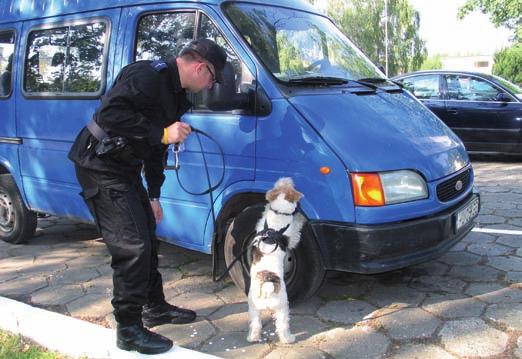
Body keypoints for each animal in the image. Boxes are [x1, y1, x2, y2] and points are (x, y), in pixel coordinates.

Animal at [245, 179, 302, 344]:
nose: (287, 178)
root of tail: (267, 288)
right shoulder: (292, 235)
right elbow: (296, 229)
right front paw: (300, 218)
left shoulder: (260, 226)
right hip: (283, 307)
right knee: (282, 326)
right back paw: (289, 338)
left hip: (254, 308)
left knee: (256, 325)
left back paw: (252, 338)